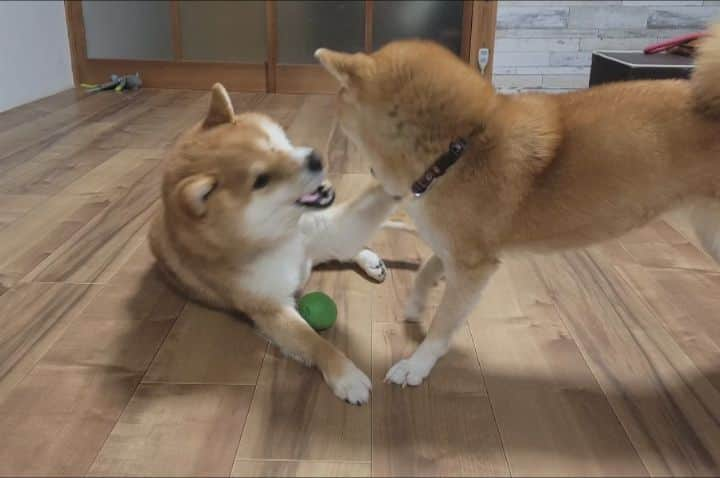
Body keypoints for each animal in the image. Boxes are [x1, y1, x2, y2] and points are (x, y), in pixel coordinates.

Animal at [149, 83, 396, 404]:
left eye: (272, 144)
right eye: (261, 180)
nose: (316, 157)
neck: (281, 237)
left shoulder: (320, 232)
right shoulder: (271, 309)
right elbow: (314, 342)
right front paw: (346, 376)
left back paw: (370, 260)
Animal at [318, 23, 720, 388]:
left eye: (342, 101)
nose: (333, 105)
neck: (459, 149)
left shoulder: (473, 265)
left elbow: (444, 322)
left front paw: (417, 364)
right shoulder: (462, 251)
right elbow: (428, 269)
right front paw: (417, 303)